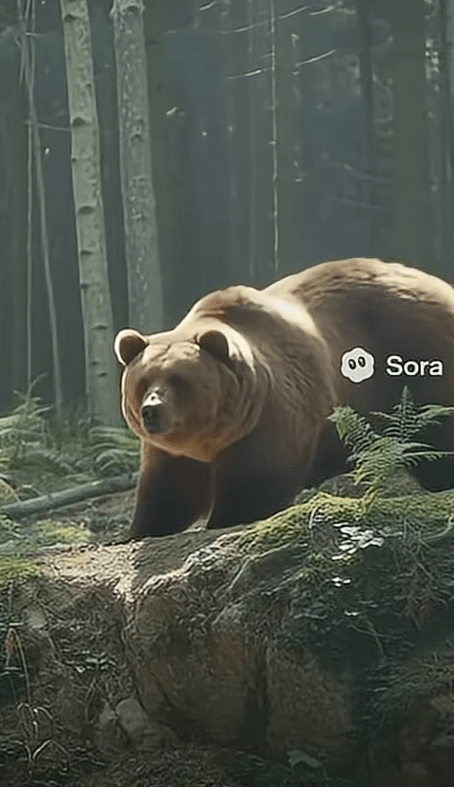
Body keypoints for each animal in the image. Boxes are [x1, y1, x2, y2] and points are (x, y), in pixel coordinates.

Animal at [114, 258, 454, 538]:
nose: (152, 410)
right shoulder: (174, 452)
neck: (212, 439)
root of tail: (440, 285)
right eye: (143, 381)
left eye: (179, 380)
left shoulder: (271, 415)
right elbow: (168, 492)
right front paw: (140, 530)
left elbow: (256, 482)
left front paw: (224, 520)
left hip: (417, 354)